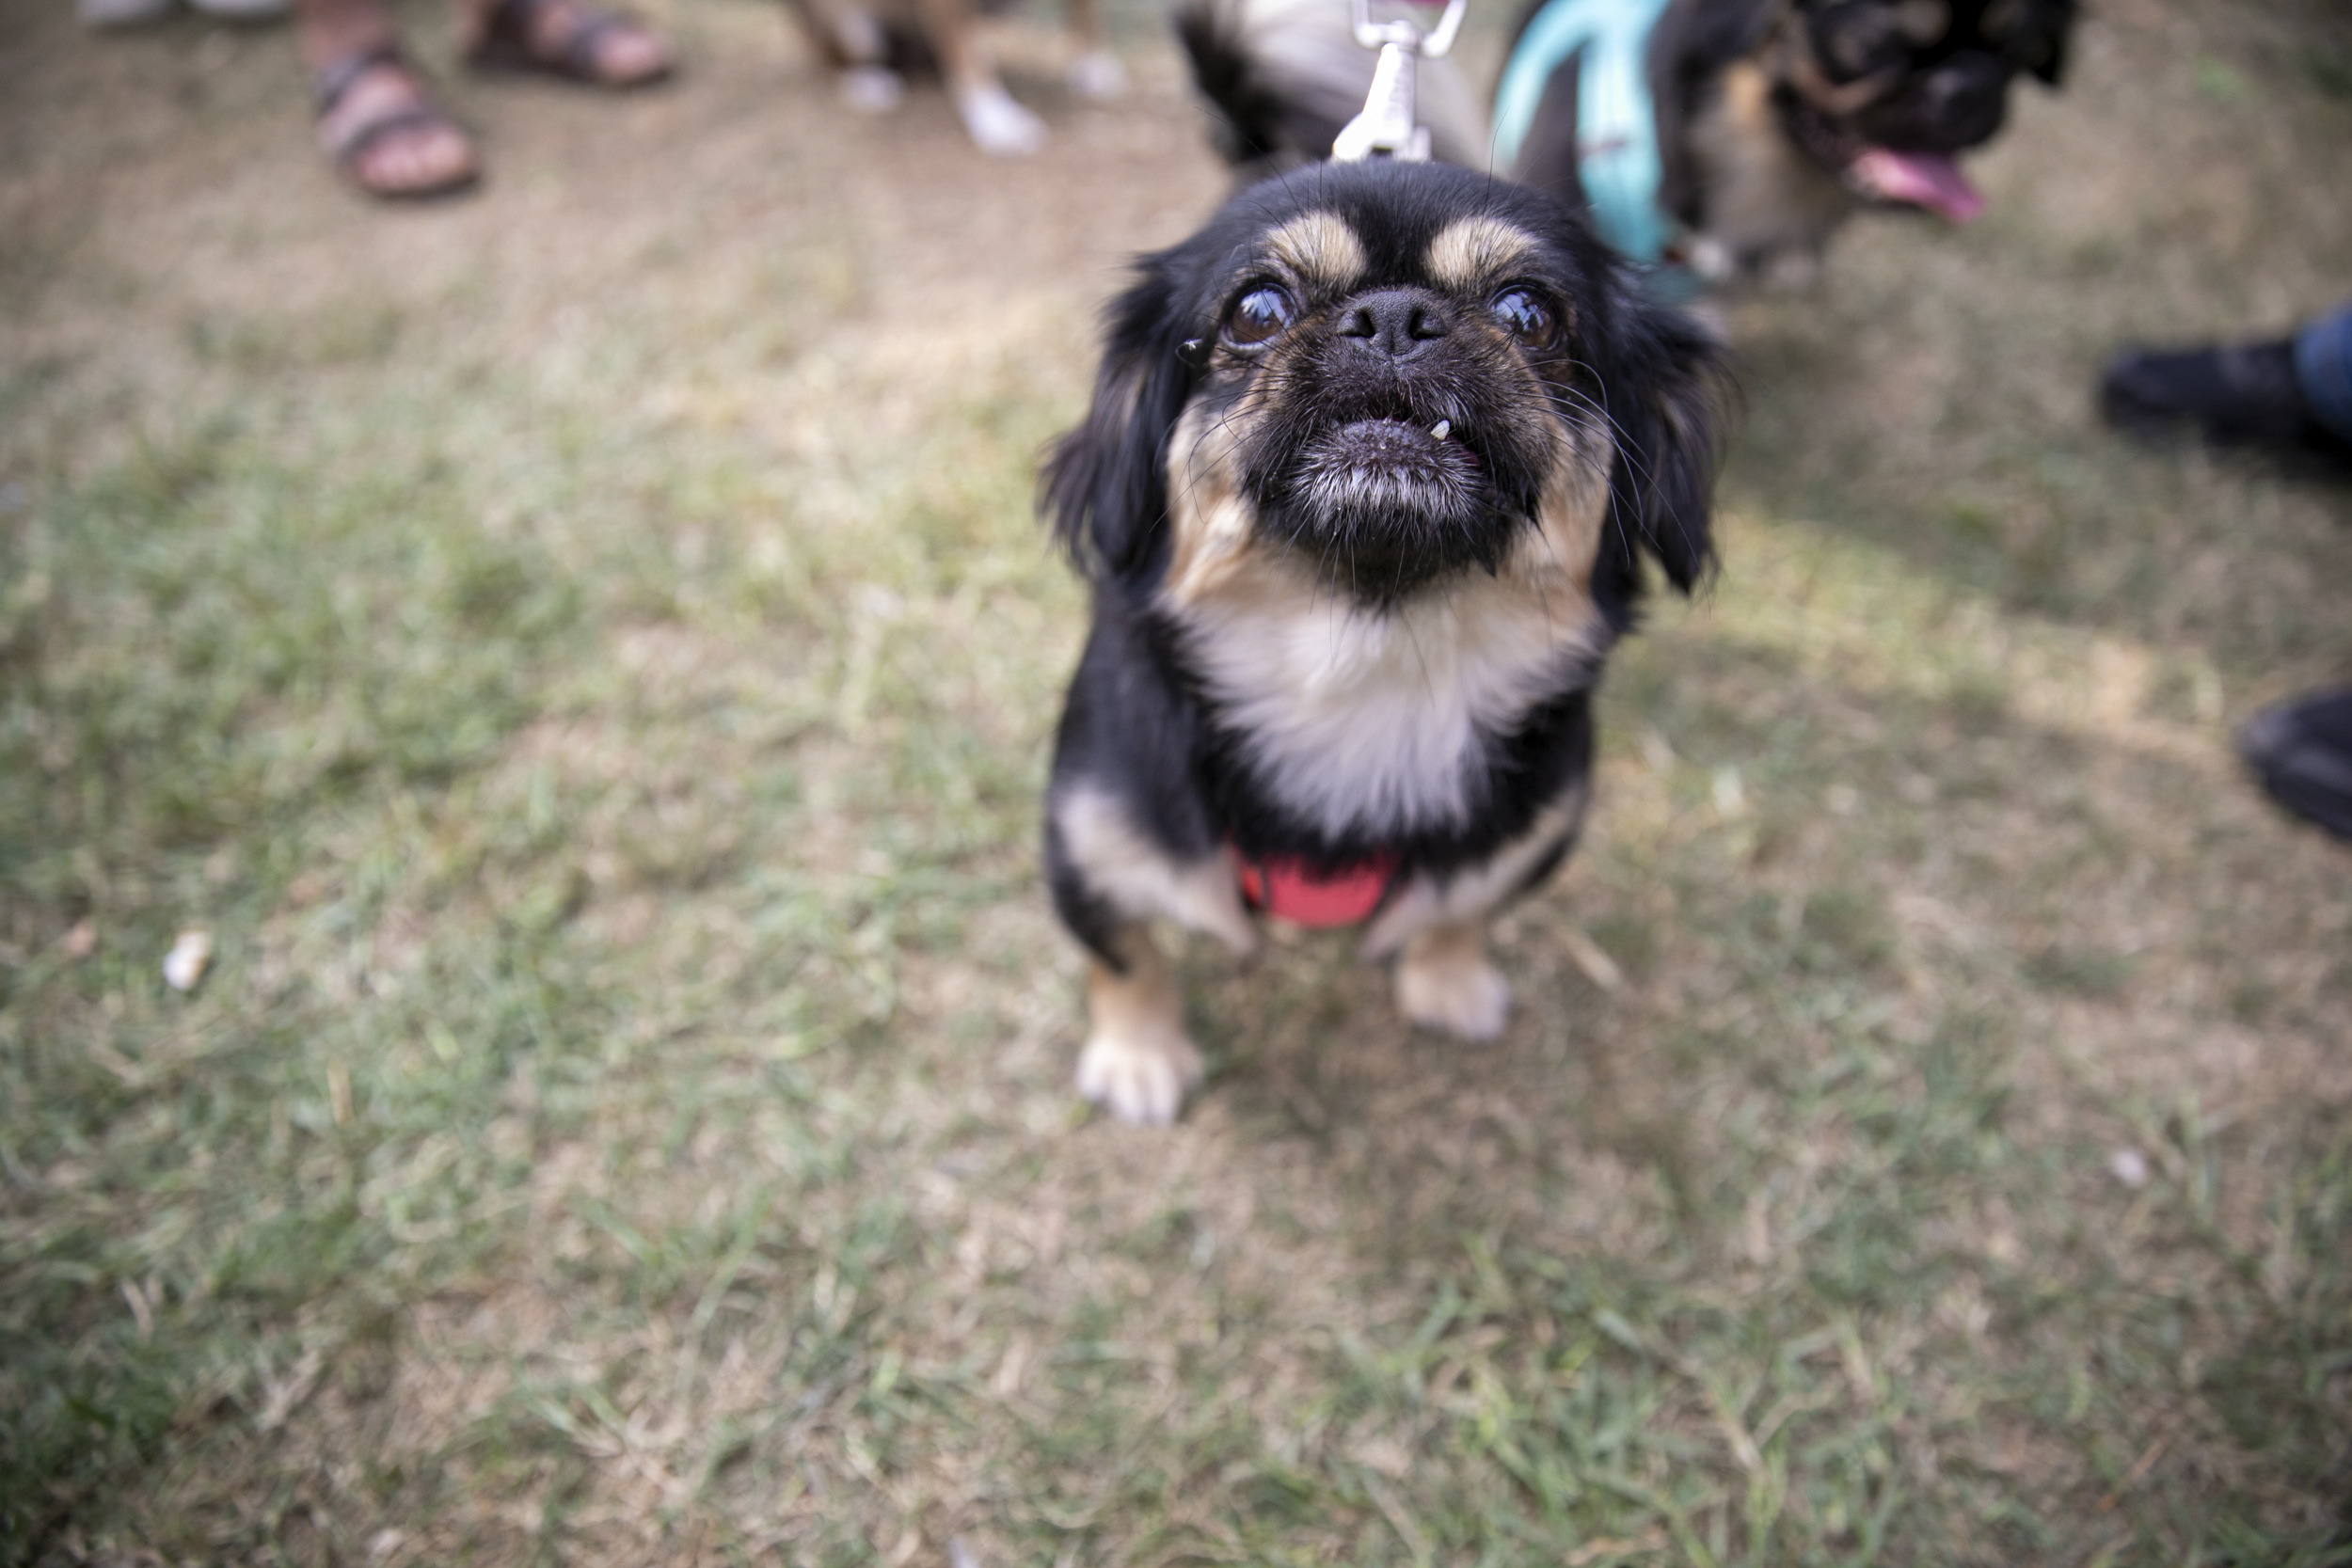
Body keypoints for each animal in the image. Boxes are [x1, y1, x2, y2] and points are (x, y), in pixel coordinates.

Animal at [1044, 159, 1731, 1123]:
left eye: (1530, 312)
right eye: (1256, 309)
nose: (1396, 317)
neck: (1369, 663)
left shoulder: (1536, 833)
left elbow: (1462, 909)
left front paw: (1448, 980)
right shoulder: (1083, 837)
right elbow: (1123, 954)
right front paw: (1139, 1054)